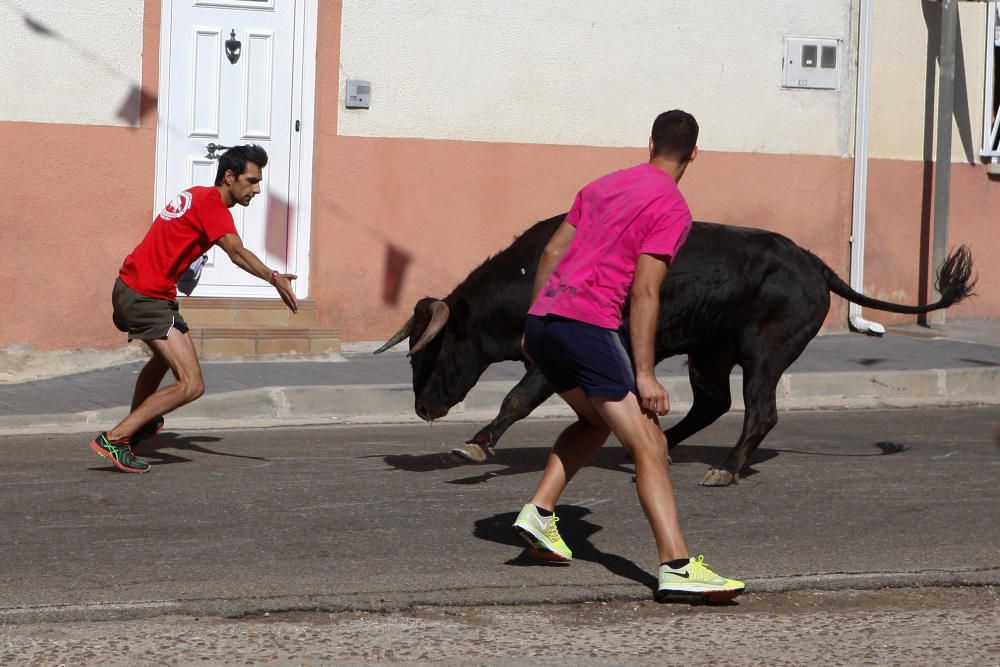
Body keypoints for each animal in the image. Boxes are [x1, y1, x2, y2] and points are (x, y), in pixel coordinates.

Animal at [376, 217, 976, 488]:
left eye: (426, 353)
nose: (422, 408)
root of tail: (814, 263)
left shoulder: (551, 360)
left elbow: (516, 400)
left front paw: (475, 447)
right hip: (710, 354)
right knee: (712, 405)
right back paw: (662, 449)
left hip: (764, 351)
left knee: (760, 411)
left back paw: (726, 469)